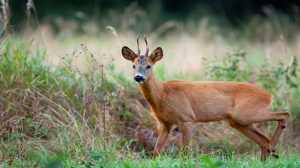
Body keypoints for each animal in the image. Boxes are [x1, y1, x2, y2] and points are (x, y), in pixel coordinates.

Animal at [120, 35, 290, 161]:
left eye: (149, 66)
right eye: (133, 65)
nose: (138, 77)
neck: (163, 94)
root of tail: (269, 95)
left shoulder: (187, 118)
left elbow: (185, 152)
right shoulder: (165, 123)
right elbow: (156, 152)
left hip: (247, 113)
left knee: (284, 114)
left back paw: (273, 149)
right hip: (238, 121)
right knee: (263, 141)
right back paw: (271, 153)